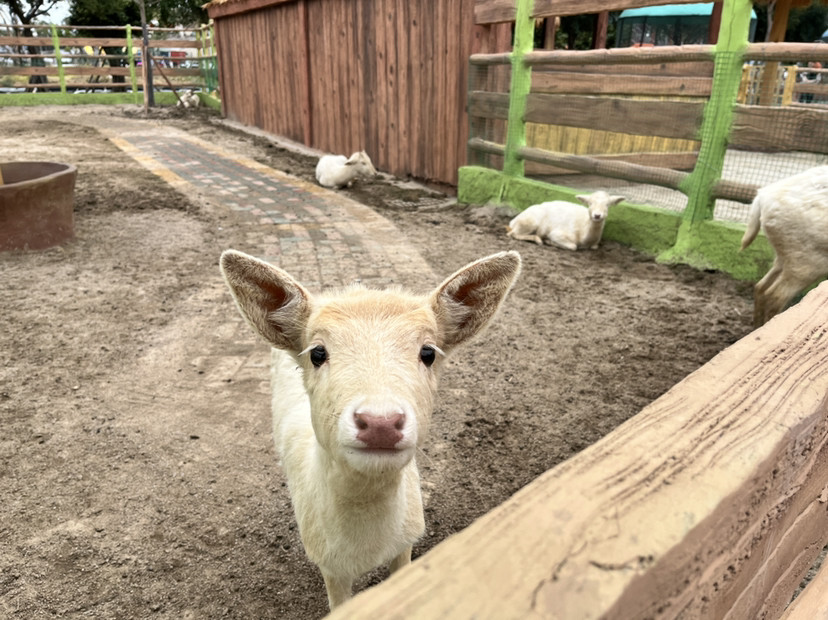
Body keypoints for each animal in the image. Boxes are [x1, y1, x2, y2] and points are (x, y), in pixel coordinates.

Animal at [740, 165, 828, 330]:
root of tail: (762, 198)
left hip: (787, 253)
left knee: (760, 286)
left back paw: (757, 328)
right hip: (808, 262)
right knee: (775, 295)